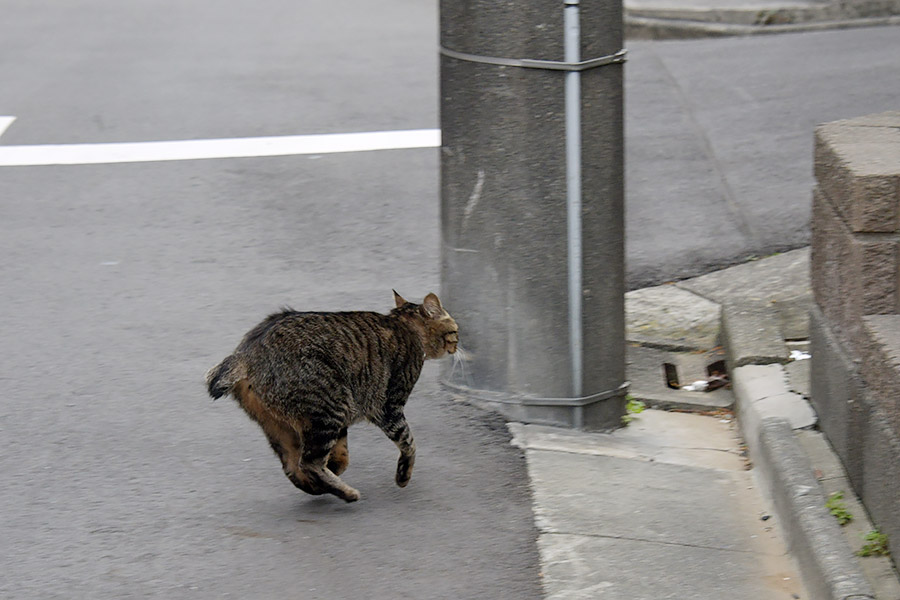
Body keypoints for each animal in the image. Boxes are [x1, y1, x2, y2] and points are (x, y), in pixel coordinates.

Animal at [204, 290, 458, 502]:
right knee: (307, 463)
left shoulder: (343, 421)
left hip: (287, 424)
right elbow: (409, 443)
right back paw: (347, 493)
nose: (458, 346)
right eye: (455, 331)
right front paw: (403, 475)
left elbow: (342, 453)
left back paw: (322, 487)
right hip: (328, 408)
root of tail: (245, 355)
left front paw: (336, 467)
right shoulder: (388, 407)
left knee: (293, 466)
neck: (404, 325)